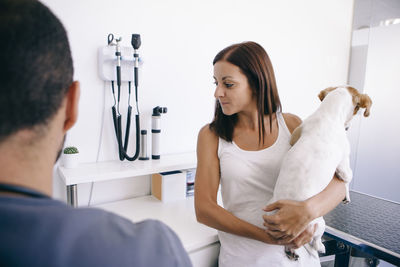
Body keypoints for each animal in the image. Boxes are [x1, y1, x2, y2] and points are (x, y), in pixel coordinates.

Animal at [268, 86, 374, 262]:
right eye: (357, 108)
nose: (348, 128)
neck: (328, 114)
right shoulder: (344, 165)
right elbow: (347, 179)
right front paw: (346, 196)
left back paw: (292, 251)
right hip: (320, 224)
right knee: (316, 241)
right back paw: (319, 247)